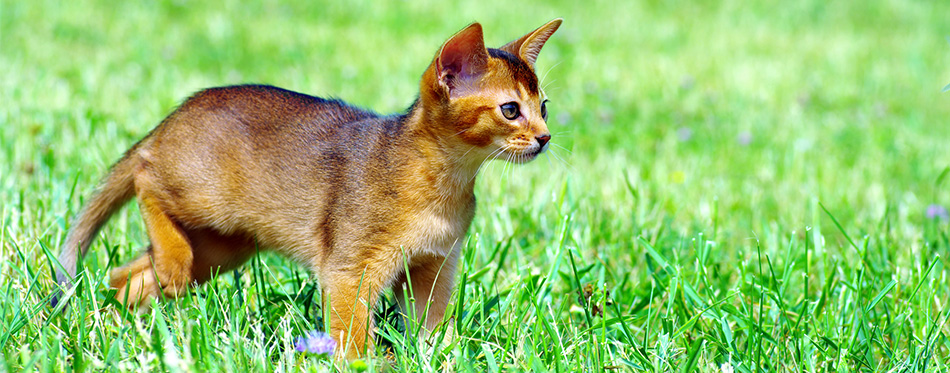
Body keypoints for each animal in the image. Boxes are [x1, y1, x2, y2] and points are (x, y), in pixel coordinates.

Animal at [57, 18, 564, 358]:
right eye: (511, 110)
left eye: (543, 106)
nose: (544, 138)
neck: (442, 185)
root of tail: (173, 118)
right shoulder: (350, 269)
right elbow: (351, 337)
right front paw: (362, 364)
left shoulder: (435, 266)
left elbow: (431, 330)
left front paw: (434, 358)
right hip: (200, 200)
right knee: (145, 177)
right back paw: (160, 269)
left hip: (222, 247)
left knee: (124, 275)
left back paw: (118, 318)